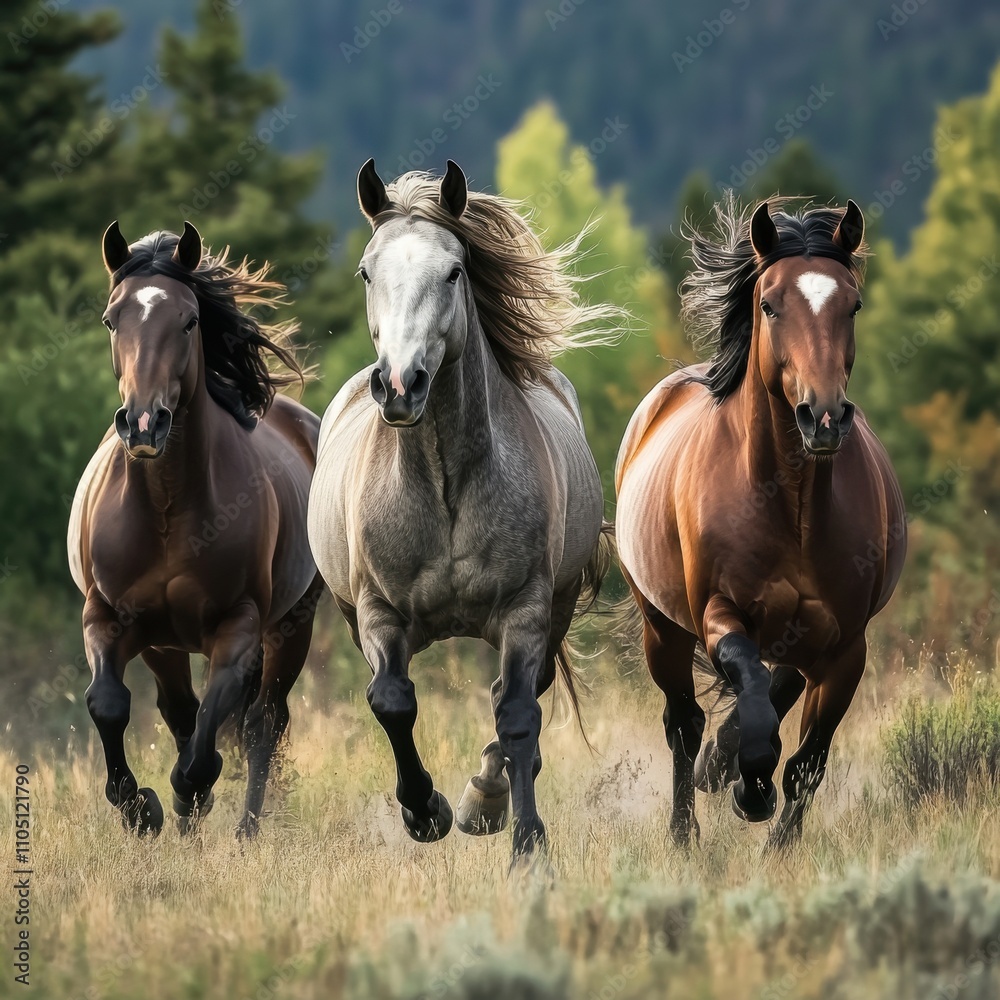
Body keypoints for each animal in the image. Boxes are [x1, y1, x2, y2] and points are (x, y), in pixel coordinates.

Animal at [68, 221, 322, 838]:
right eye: (111, 319)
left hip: (292, 625)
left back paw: (245, 829)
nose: (143, 424)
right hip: (164, 641)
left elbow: (214, 729)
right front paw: (143, 810)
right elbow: (108, 703)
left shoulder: (238, 627)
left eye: (188, 320)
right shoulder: (107, 617)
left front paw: (188, 794)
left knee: (262, 724)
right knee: (181, 711)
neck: (166, 508)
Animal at [307, 159, 615, 865]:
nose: (400, 386)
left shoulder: (526, 611)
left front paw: (519, 835)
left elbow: (518, 715)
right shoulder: (378, 614)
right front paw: (425, 813)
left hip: (553, 609)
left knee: (517, 697)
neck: (444, 485)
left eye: (453, 271)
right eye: (366, 271)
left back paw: (487, 799)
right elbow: (392, 702)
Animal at [615, 196, 906, 850]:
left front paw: (779, 842)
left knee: (778, 691)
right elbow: (748, 687)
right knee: (684, 722)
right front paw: (750, 786)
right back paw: (685, 830)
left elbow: (808, 761)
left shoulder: (847, 648)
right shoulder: (719, 614)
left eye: (853, 304)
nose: (823, 418)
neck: (788, 503)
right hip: (661, 628)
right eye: (770, 304)